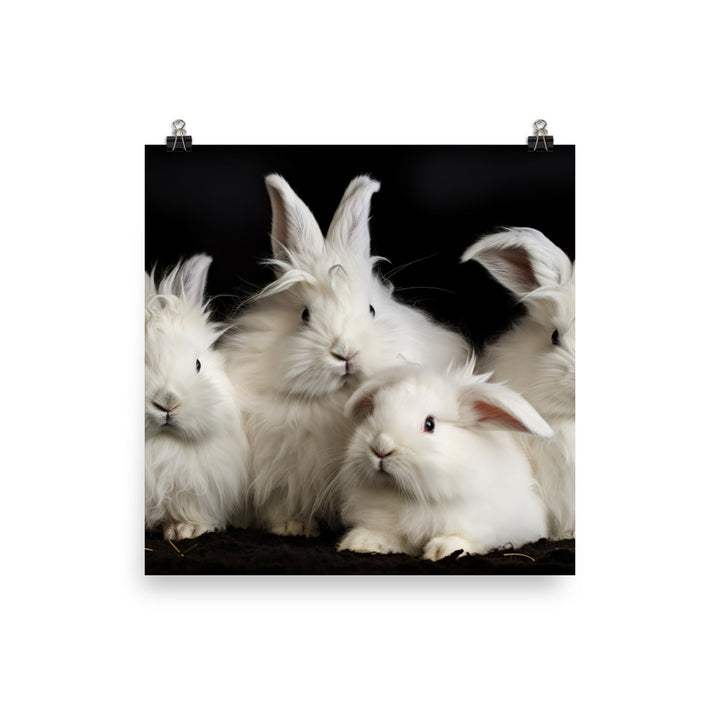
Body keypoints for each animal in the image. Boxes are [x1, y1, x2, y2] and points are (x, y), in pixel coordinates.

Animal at [222, 174, 472, 537]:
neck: (337, 401)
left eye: (371, 309)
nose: (345, 353)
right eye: (305, 315)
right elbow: (280, 502)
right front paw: (291, 526)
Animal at [336, 363, 552, 561]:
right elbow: (387, 535)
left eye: (430, 424)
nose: (381, 447)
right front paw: (359, 543)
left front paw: (442, 550)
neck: (411, 495)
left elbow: (465, 538)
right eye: (373, 412)